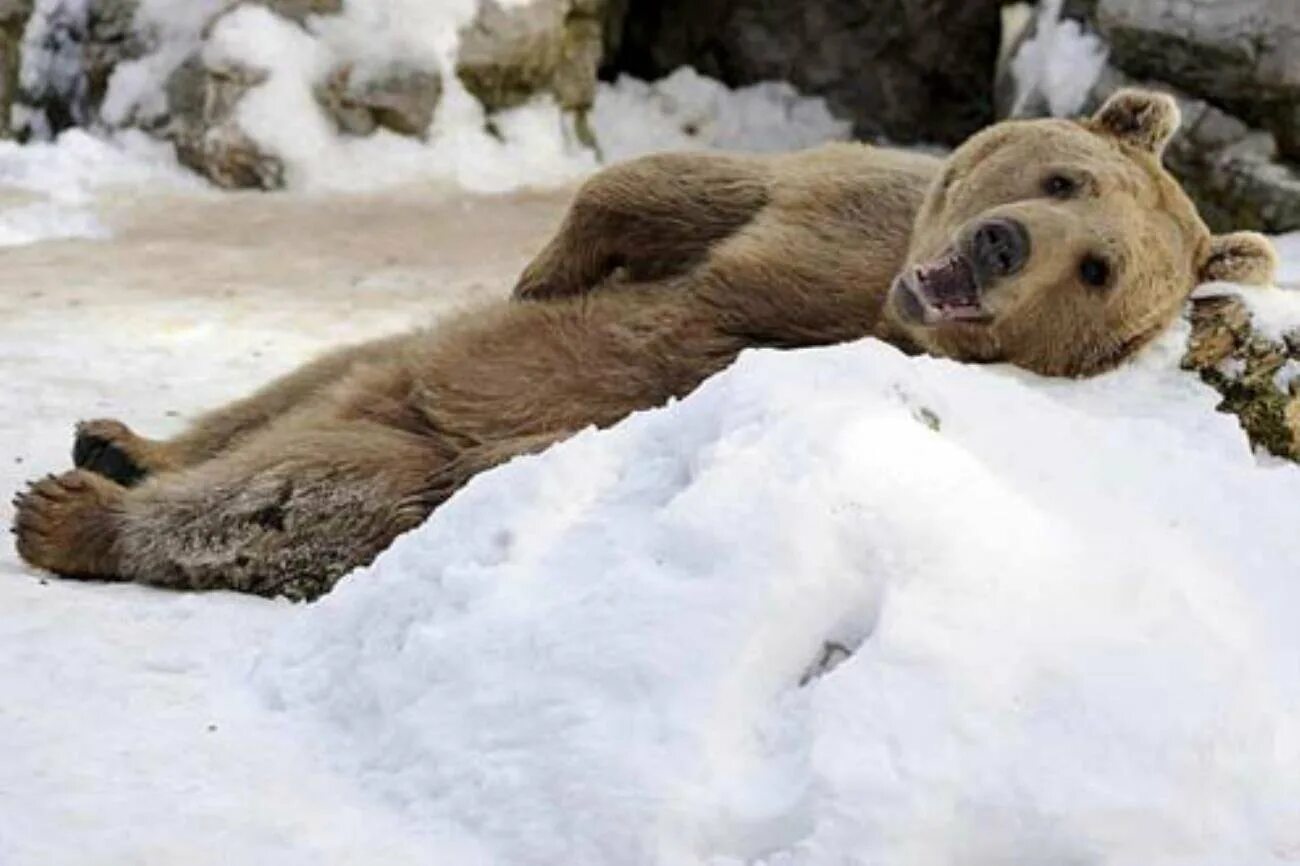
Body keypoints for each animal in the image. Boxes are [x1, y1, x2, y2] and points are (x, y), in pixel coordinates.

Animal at [7, 89, 1268, 600]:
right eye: (1062, 178)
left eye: (1097, 267)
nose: (1005, 243)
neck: (887, 299)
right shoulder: (846, 211)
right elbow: (684, 193)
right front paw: (550, 263)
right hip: (396, 351)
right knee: (284, 389)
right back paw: (125, 441)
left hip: (412, 450)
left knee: (305, 489)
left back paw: (76, 511)